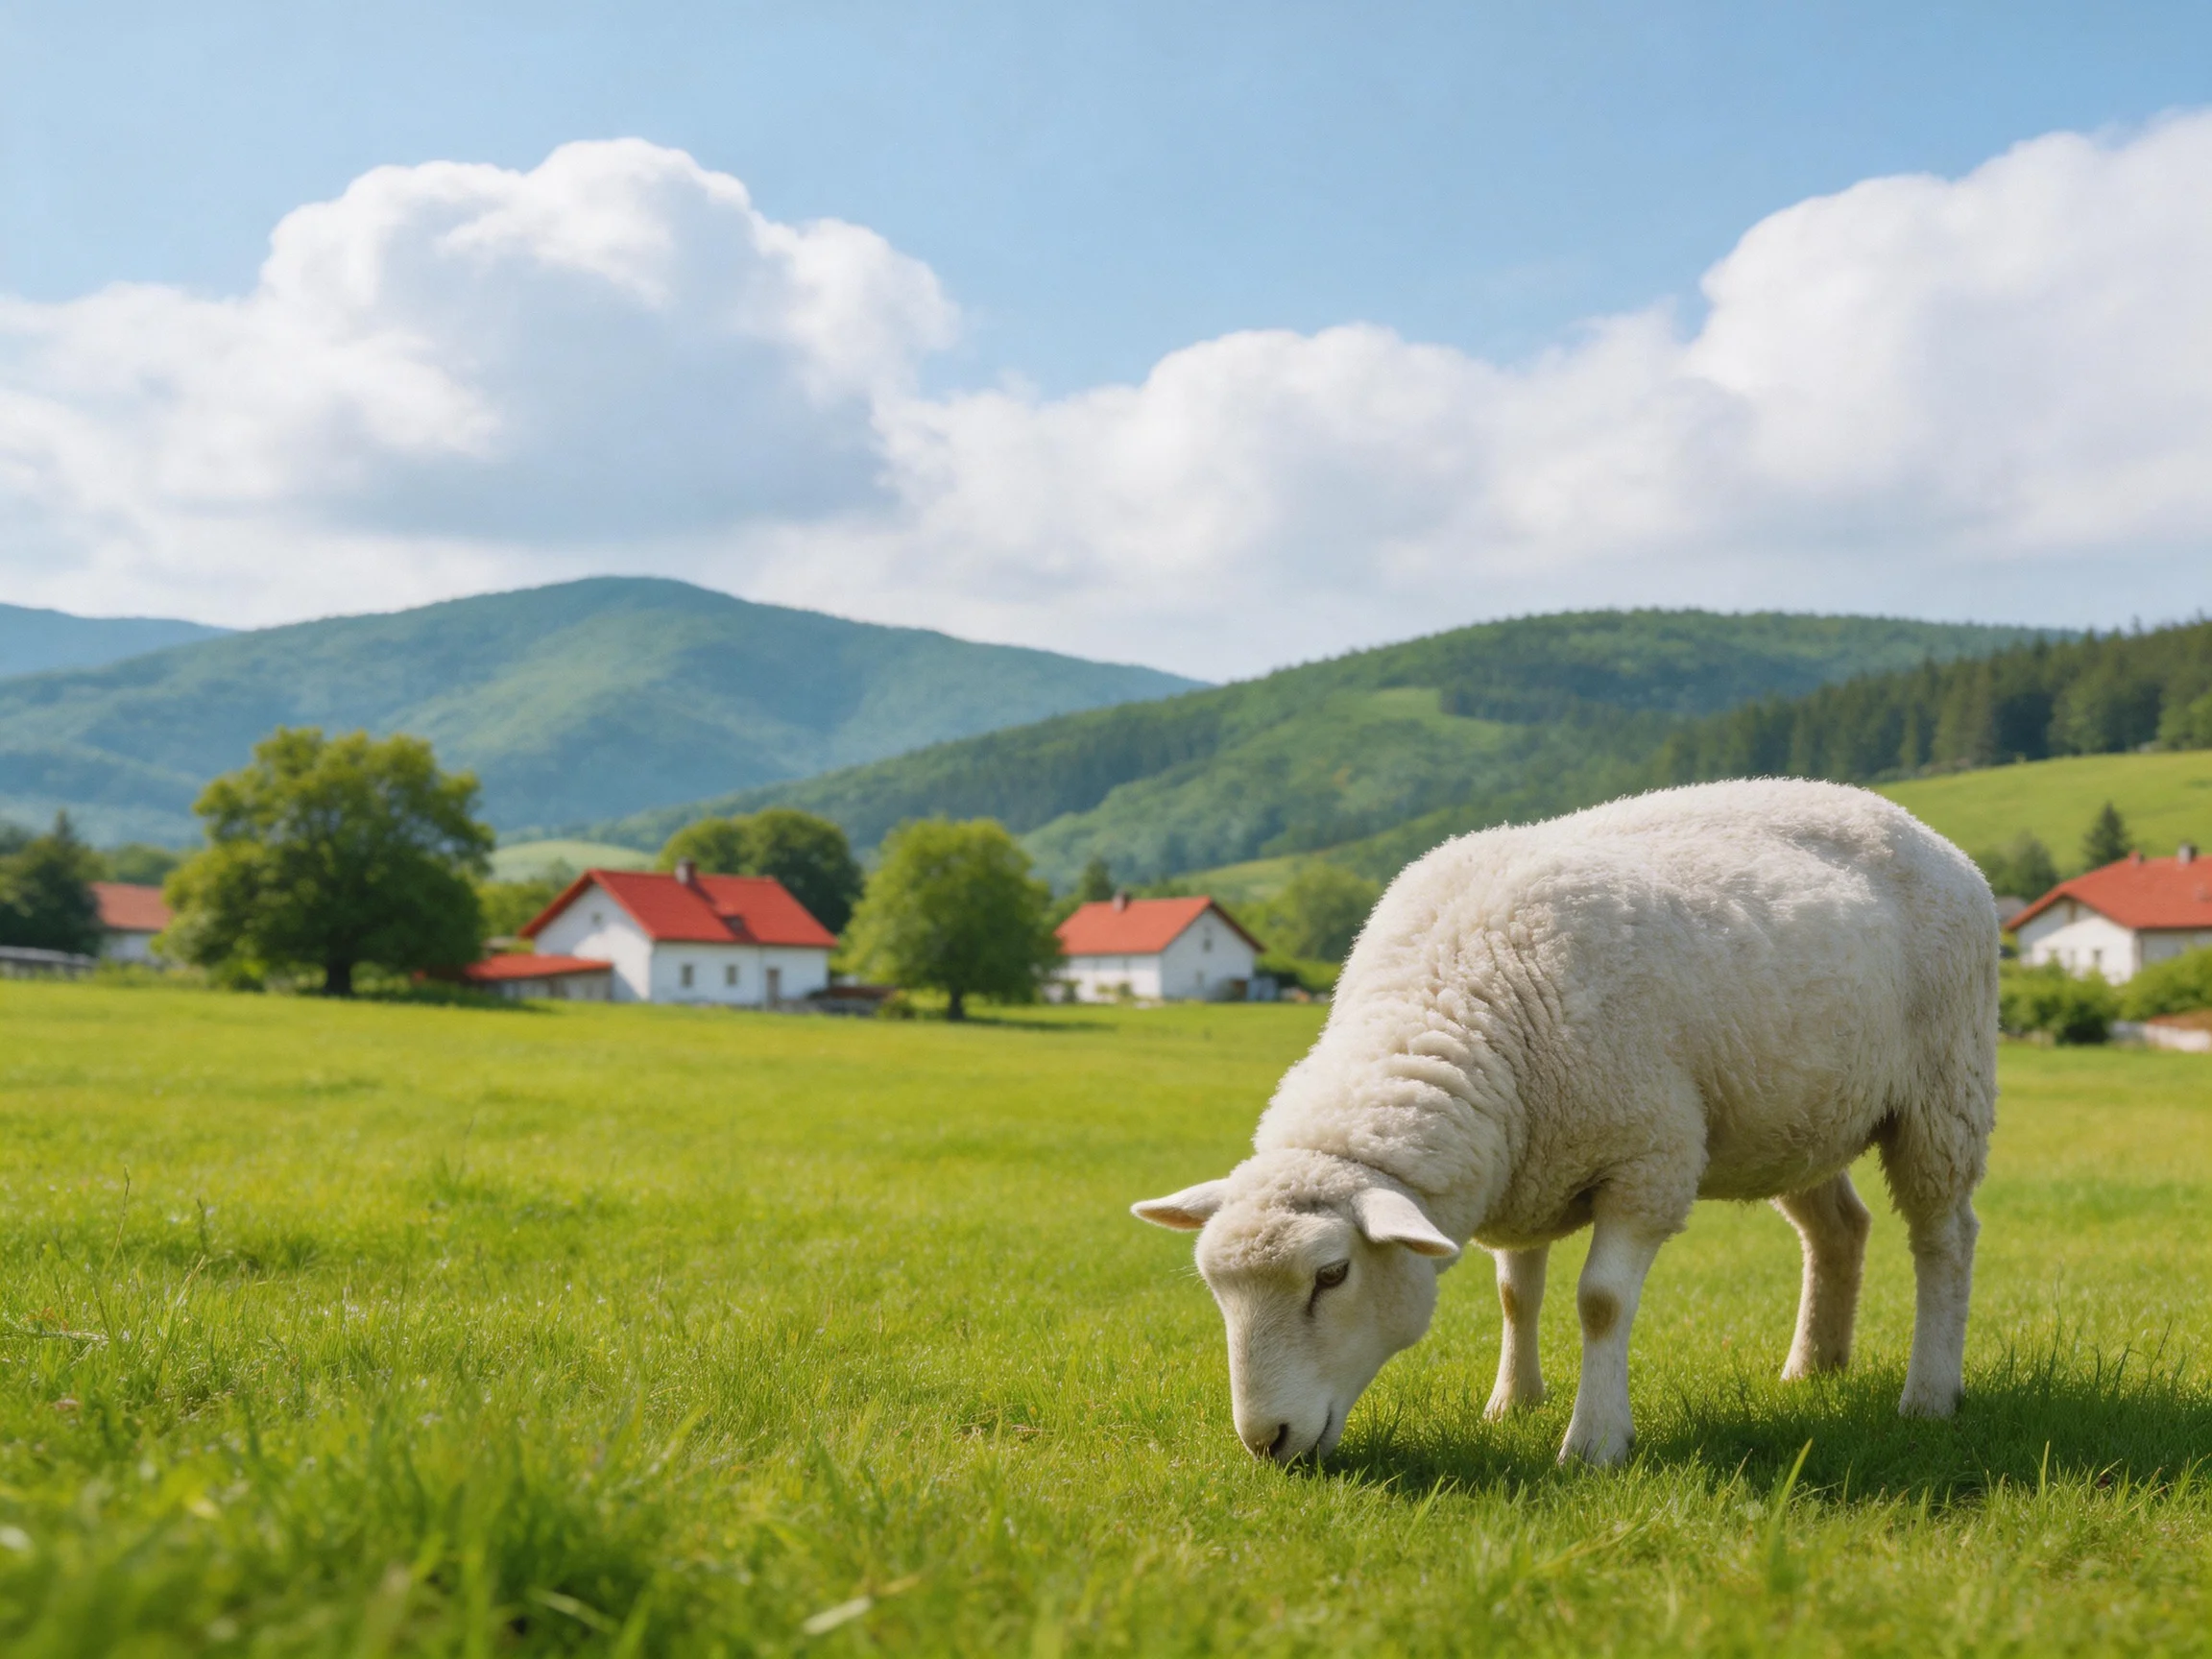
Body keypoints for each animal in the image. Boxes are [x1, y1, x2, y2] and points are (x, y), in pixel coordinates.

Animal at [1134, 778, 1997, 1467]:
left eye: (1332, 1275)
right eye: (1216, 1288)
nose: (1265, 1441)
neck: (1453, 998)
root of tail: (1919, 828)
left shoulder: (1648, 1159)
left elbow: (1601, 1303)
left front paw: (1594, 1443)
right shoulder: (1526, 1163)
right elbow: (1517, 1294)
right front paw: (1511, 1402)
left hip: (1942, 1090)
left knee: (1943, 1238)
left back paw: (1928, 1393)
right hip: (1790, 1115)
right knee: (1839, 1230)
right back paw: (1814, 1367)